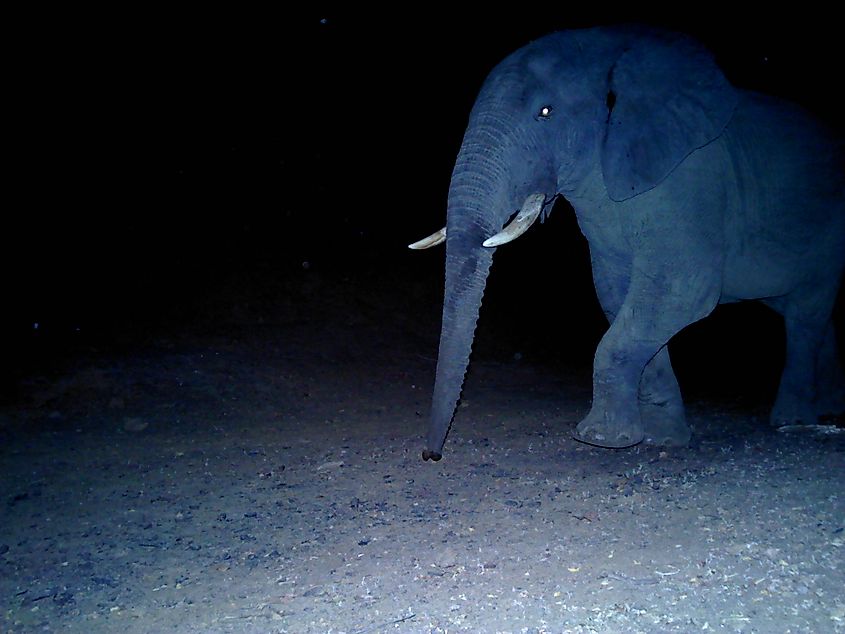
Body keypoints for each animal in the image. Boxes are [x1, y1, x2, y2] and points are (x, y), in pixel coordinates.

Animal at [408, 24, 836, 460]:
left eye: (545, 112)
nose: (432, 455)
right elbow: (618, 296)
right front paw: (662, 438)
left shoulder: (690, 183)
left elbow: (681, 294)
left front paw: (600, 438)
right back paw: (827, 411)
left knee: (805, 314)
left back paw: (792, 422)